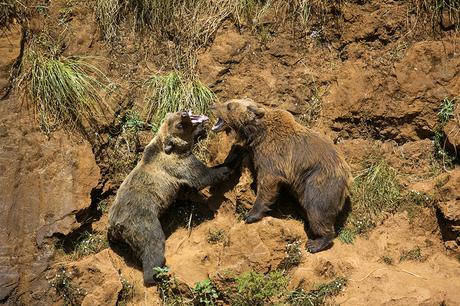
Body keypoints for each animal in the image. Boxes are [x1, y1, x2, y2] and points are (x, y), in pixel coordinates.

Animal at [108, 110, 230, 284]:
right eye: (179, 125)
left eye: (174, 113)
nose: (184, 112)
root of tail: (114, 225)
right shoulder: (179, 165)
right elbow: (202, 177)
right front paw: (225, 168)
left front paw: (201, 129)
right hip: (141, 219)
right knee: (152, 242)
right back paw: (157, 271)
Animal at [211, 98, 352, 253]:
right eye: (227, 102)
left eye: (229, 106)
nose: (212, 105)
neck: (258, 133)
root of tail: (347, 176)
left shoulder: (273, 155)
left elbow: (267, 182)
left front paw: (250, 215)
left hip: (319, 181)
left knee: (317, 208)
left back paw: (316, 243)